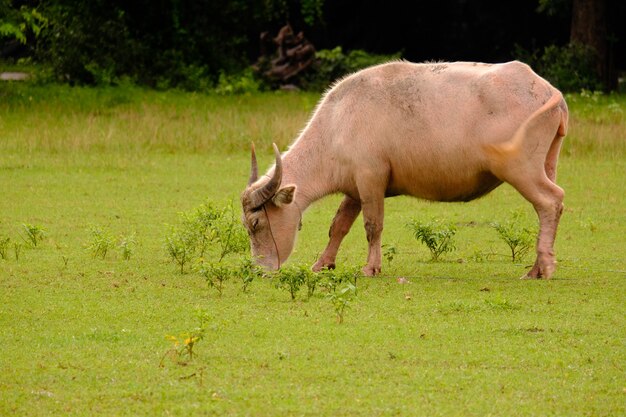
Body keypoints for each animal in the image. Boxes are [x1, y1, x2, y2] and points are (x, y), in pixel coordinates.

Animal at [238, 60, 564, 278]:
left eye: (255, 223)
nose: (259, 270)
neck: (338, 122)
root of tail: (548, 90)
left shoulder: (371, 180)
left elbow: (372, 225)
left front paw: (371, 267)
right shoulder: (355, 189)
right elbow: (339, 225)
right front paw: (323, 264)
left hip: (521, 169)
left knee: (551, 201)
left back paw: (543, 268)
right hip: (547, 163)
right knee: (549, 208)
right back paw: (536, 266)